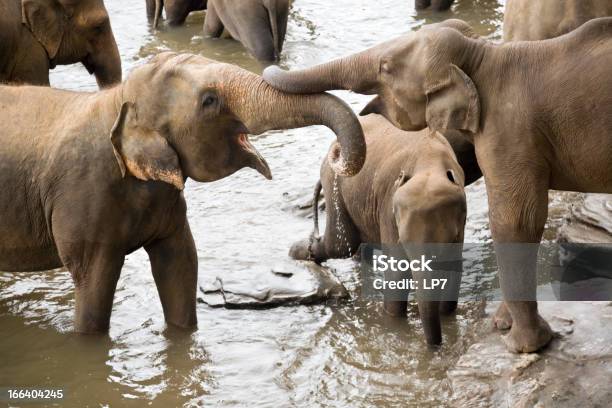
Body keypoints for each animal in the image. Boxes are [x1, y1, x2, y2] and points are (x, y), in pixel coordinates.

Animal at [0, 51, 366, 332]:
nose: (335, 156)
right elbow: (94, 283)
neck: (117, 102)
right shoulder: (85, 197)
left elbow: (180, 264)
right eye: (209, 100)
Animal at [292, 114, 468, 344]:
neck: (429, 165)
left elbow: (454, 267)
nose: (436, 347)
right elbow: (396, 271)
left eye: (451, 238)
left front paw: (447, 317)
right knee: (341, 246)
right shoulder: (388, 208)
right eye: (403, 240)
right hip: (333, 182)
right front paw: (394, 323)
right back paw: (295, 252)